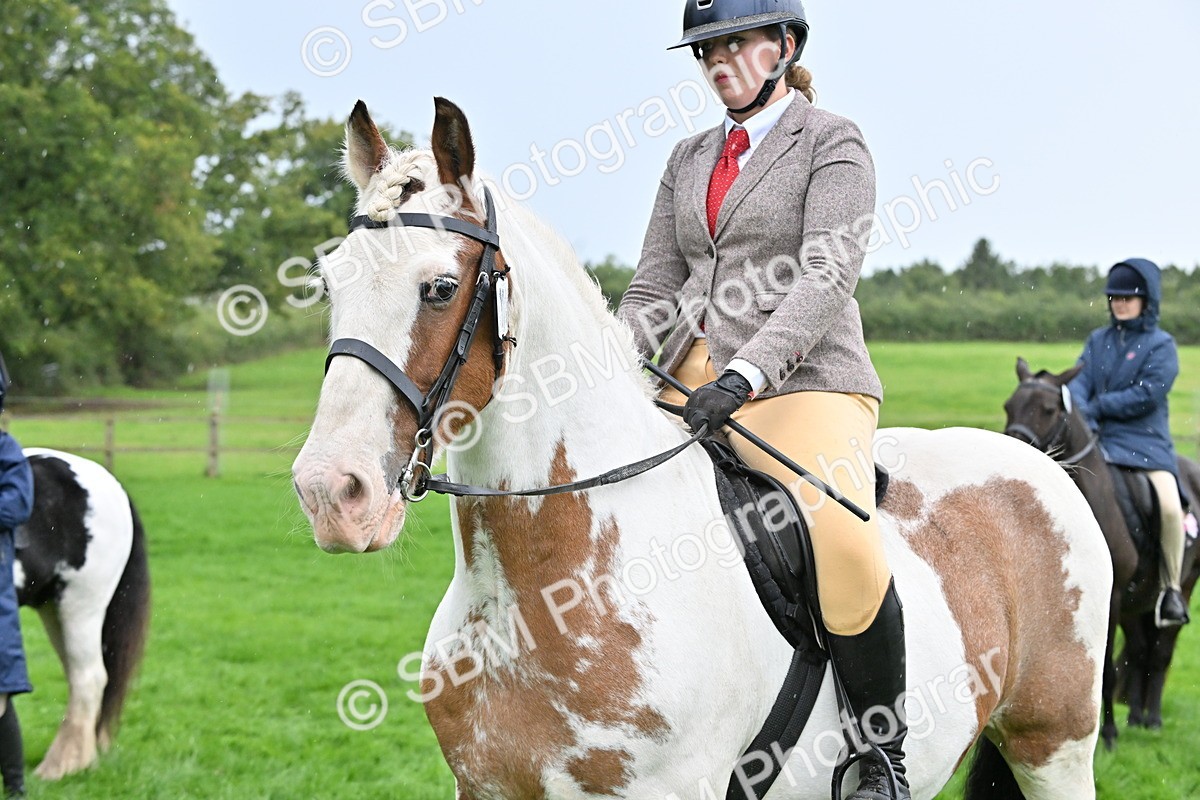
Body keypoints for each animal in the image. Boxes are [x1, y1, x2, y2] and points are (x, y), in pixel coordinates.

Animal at [292, 98, 1113, 799]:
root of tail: (1040, 465)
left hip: (1056, 747)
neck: (545, 586)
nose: (331, 492)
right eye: (330, 280)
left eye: (438, 286)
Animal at [1003, 360, 1200, 748]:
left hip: (1180, 589)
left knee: (1161, 651)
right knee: (1140, 651)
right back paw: (1136, 717)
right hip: (1137, 605)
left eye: (1048, 410)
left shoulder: (1113, 596)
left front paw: (1107, 734)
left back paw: (1153, 719)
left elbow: (1106, 668)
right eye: (1009, 406)